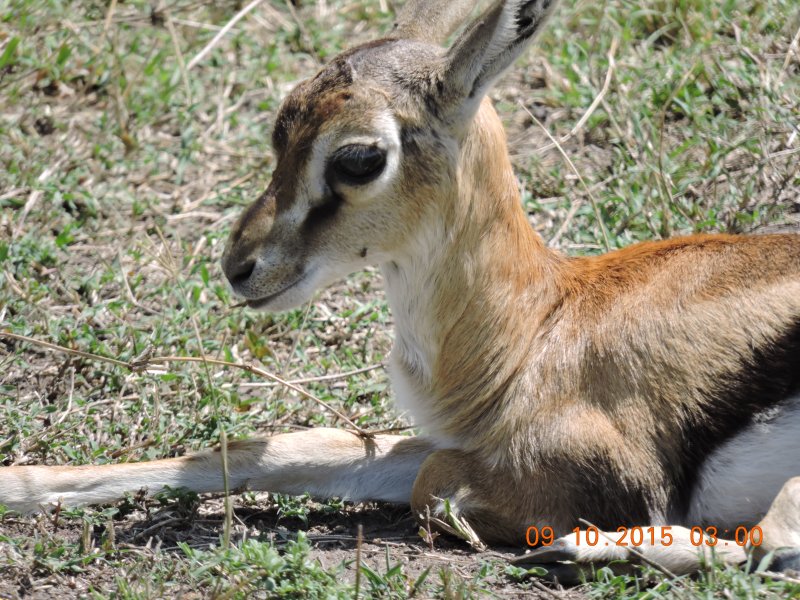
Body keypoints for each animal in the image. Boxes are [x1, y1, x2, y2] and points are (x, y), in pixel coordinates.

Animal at [3, 0, 800, 579]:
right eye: (280, 128)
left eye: (358, 157)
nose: (241, 266)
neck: (539, 324)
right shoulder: (445, 439)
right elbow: (269, 450)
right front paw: (19, 484)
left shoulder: (609, 476)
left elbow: (432, 489)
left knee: (769, 539)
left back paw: (573, 550)